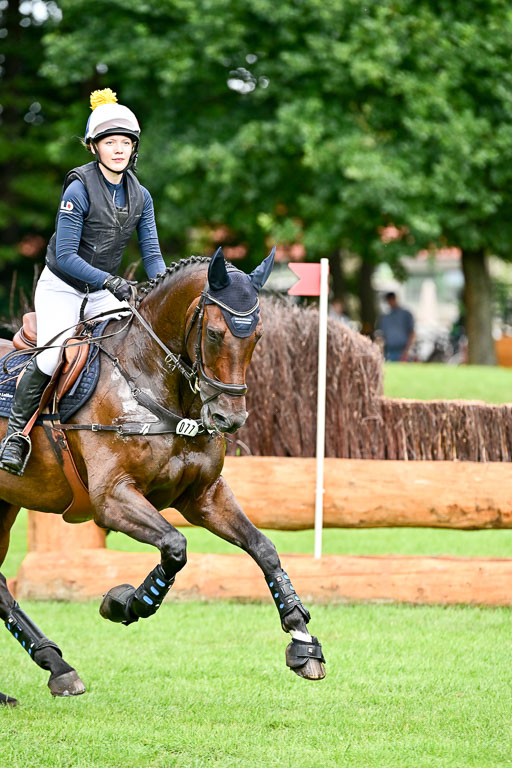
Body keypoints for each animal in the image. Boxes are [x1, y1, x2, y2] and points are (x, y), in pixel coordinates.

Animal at [0, 248, 325, 706]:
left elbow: (263, 548)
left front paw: (302, 640)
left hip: (4, 505)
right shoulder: (112, 499)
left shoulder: (203, 496)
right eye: (214, 334)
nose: (229, 419)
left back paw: (57, 669)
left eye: (257, 337)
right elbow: (175, 546)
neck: (157, 385)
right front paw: (123, 603)